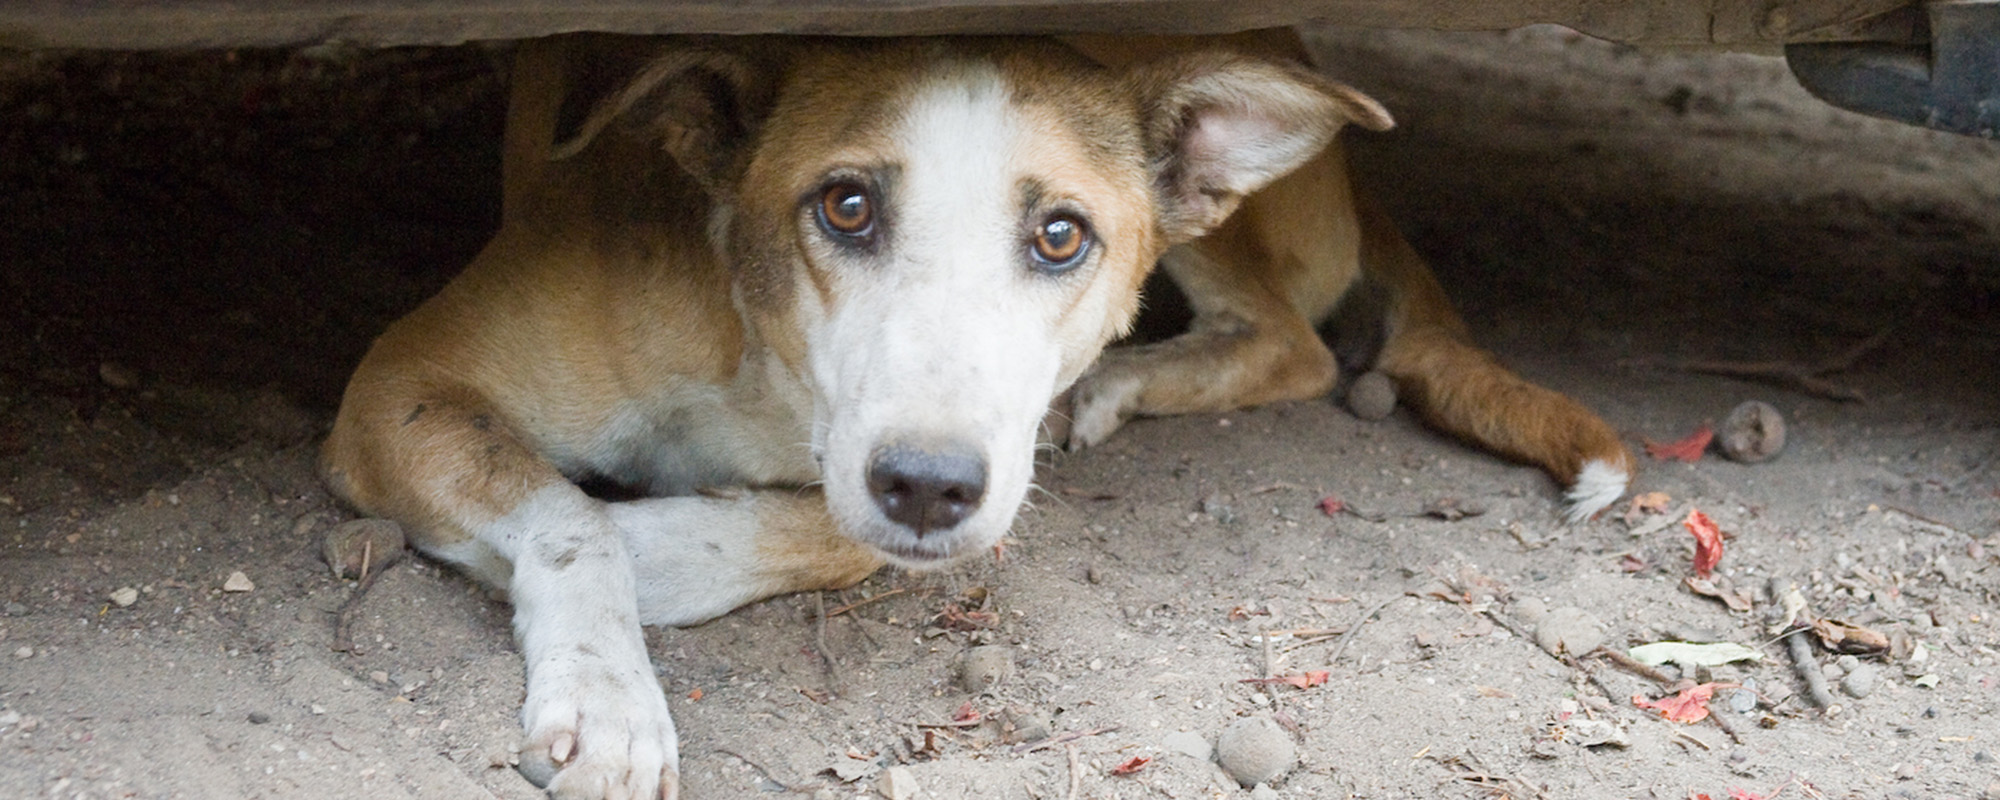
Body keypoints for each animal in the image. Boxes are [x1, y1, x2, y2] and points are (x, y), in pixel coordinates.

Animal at [320, 32, 1400, 800]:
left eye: (1060, 235)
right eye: (845, 207)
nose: (926, 486)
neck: (761, 369)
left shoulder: (947, 476)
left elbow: (839, 538)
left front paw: (649, 553)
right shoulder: (398, 383)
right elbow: (569, 515)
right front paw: (605, 694)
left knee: (1292, 343)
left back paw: (1106, 385)